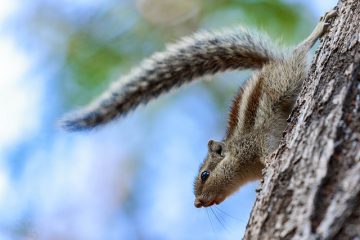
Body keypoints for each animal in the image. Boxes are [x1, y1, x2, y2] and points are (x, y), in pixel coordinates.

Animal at [59, 10, 338, 207]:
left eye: (205, 175)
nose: (197, 203)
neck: (240, 161)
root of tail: (268, 64)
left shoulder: (256, 141)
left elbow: (267, 150)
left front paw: (271, 160)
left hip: (284, 80)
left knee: (299, 51)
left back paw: (320, 27)